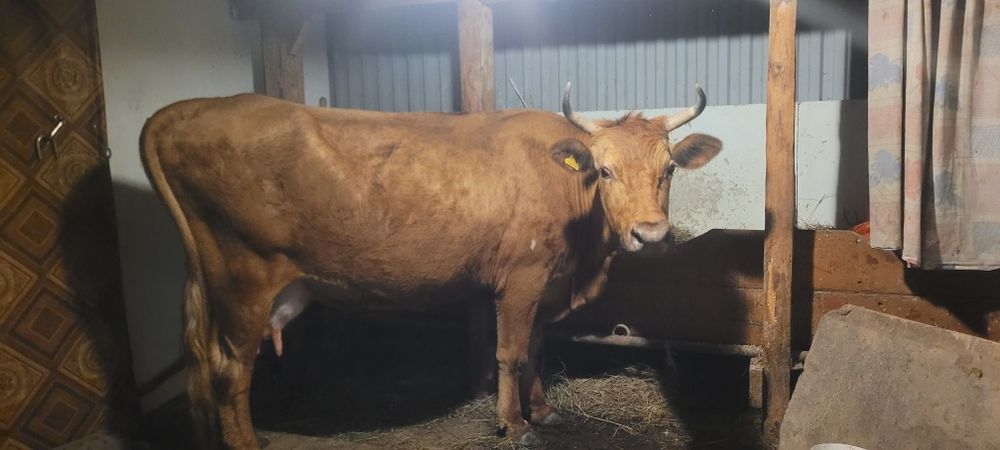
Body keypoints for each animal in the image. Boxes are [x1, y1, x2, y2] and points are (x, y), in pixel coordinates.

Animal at [140, 82, 721, 448]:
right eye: (604, 170)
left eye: (669, 169)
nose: (650, 235)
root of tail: (195, 106)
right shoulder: (521, 276)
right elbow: (511, 351)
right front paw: (515, 424)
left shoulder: (546, 283)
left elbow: (537, 345)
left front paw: (544, 410)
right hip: (243, 278)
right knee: (230, 370)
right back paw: (247, 441)